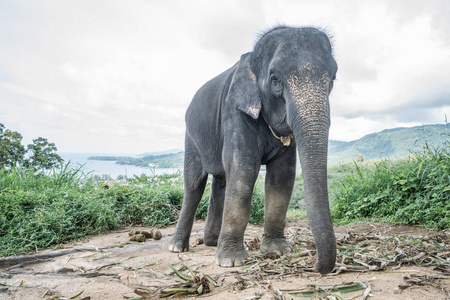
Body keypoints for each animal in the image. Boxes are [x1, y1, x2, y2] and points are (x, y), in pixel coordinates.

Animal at [170, 25, 338, 274]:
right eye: (275, 79)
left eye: (333, 79)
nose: (314, 264)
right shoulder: (234, 112)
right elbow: (243, 170)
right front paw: (231, 261)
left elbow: (282, 176)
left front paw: (278, 251)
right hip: (190, 139)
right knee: (193, 185)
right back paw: (177, 247)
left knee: (221, 181)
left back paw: (212, 242)